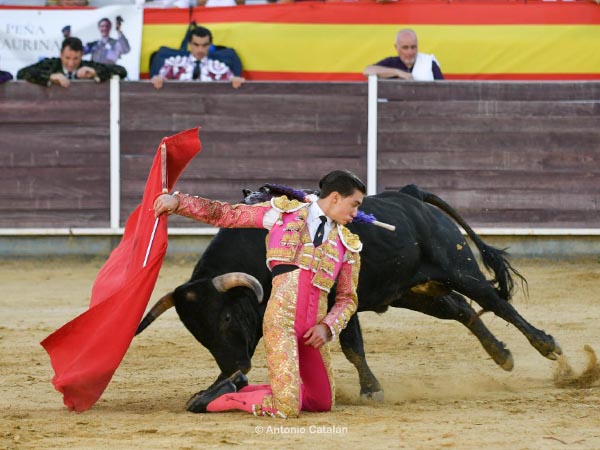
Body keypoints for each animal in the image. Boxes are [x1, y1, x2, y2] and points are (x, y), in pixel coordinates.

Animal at [135, 185, 556, 400]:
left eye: (225, 316)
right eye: (199, 335)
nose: (232, 368)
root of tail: (412, 195)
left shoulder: (339, 296)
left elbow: (352, 344)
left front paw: (371, 390)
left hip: (458, 268)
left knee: (495, 302)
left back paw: (548, 347)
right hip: (414, 290)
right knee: (463, 310)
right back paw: (503, 356)